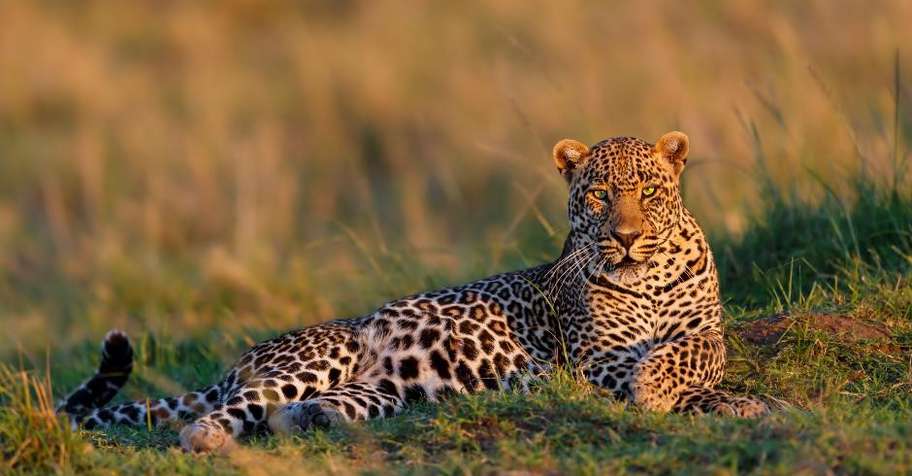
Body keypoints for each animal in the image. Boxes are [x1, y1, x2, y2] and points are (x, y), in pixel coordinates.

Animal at [59, 131, 769, 454]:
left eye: (648, 192)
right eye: (597, 195)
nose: (625, 237)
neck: (645, 278)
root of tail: (240, 361)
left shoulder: (706, 330)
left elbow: (698, 354)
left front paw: (728, 399)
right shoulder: (598, 359)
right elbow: (662, 371)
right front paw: (686, 398)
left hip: (383, 391)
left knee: (300, 413)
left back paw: (308, 423)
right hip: (320, 357)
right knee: (231, 411)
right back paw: (208, 438)